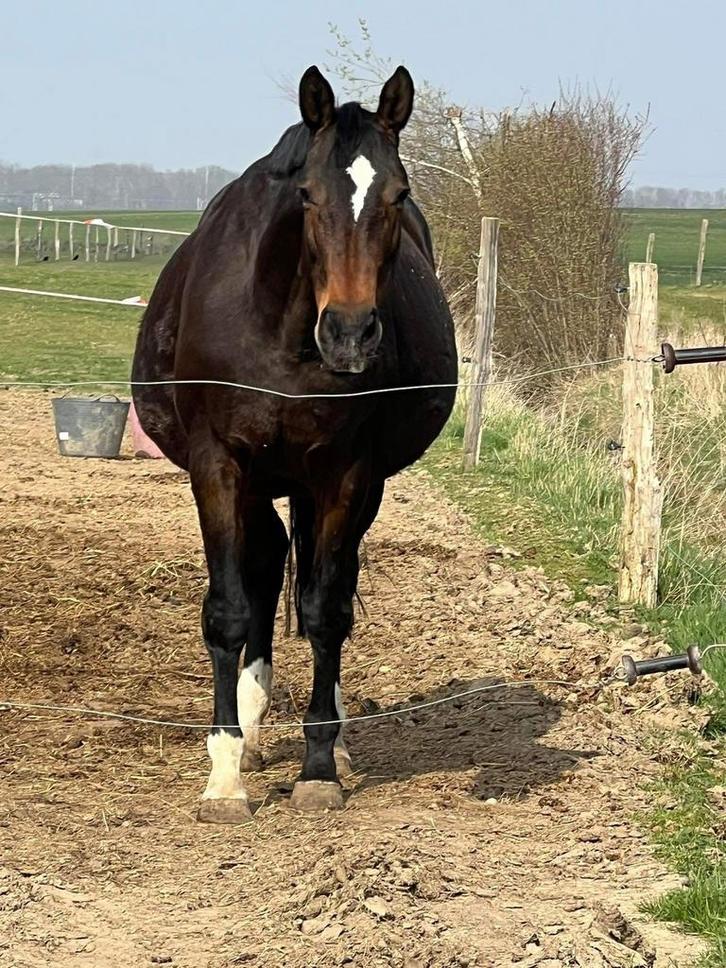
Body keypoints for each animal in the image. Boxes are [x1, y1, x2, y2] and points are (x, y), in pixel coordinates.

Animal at [131, 65, 457, 822]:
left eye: (399, 193)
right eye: (308, 195)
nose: (350, 334)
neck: (280, 332)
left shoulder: (344, 474)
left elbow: (325, 612)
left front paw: (318, 767)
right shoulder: (217, 465)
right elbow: (229, 609)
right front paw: (224, 777)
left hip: (340, 489)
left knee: (320, 580)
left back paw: (329, 735)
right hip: (257, 482)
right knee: (264, 564)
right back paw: (249, 727)